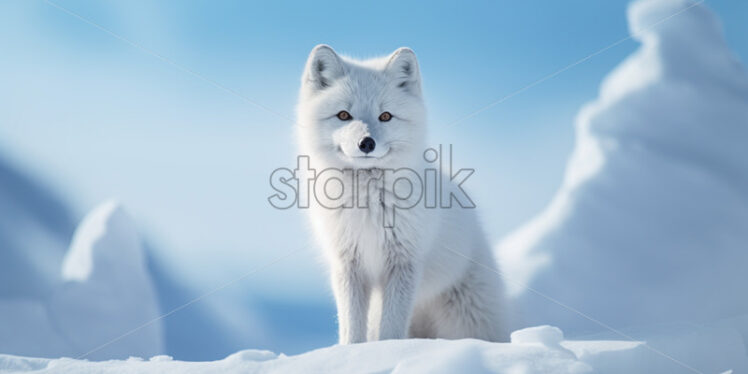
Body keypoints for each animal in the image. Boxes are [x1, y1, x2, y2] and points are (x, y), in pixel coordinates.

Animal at [296, 45, 508, 344]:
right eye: (343, 115)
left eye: (385, 116)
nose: (366, 143)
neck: (368, 203)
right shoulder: (348, 264)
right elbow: (352, 328)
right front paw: (351, 351)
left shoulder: (404, 262)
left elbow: (391, 330)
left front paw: (387, 349)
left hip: (468, 319)